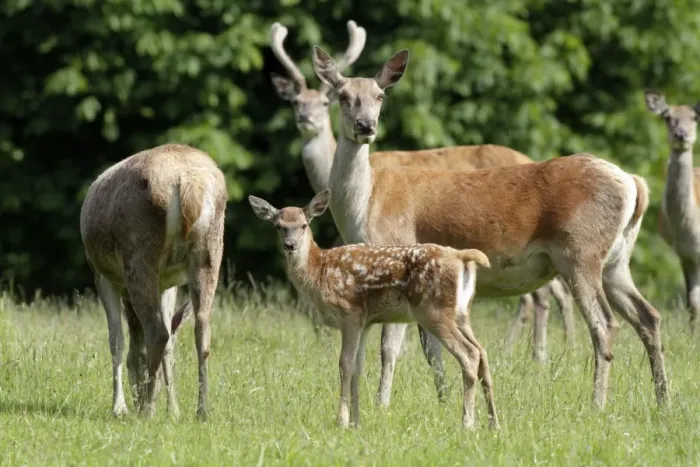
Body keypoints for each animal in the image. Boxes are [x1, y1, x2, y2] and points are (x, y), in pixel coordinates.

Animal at [80, 143, 227, 420]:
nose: (138, 397)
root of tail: (188, 183)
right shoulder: (168, 281)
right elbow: (170, 344)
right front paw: (174, 410)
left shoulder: (102, 274)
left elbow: (117, 340)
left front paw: (119, 407)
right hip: (210, 249)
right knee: (201, 328)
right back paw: (201, 411)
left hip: (139, 251)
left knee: (157, 333)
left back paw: (146, 411)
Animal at [249, 189, 497, 429]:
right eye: (279, 226)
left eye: (303, 225)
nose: (290, 245)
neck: (319, 271)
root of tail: (461, 256)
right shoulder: (366, 321)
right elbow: (358, 367)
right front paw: (356, 422)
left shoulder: (349, 312)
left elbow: (345, 363)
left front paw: (341, 421)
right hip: (461, 314)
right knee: (483, 353)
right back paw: (493, 424)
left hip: (434, 311)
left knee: (470, 354)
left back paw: (467, 423)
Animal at [311, 45, 669, 410]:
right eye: (343, 95)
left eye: (380, 95)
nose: (365, 125)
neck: (366, 204)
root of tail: (634, 184)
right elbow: (431, 350)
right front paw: (443, 401)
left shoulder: (397, 250)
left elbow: (390, 348)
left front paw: (383, 405)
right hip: (616, 260)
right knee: (648, 316)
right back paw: (663, 401)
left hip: (581, 252)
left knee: (605, 325)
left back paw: (597, 403)